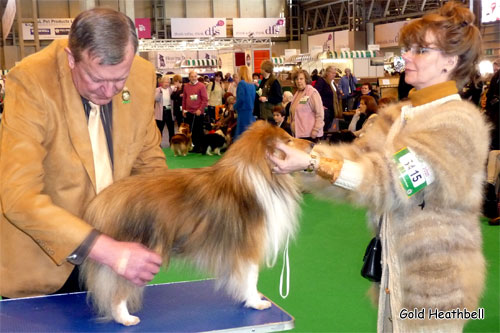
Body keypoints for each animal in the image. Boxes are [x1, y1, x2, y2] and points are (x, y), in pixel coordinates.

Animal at [80, 120, 314, 326]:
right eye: (288, 139)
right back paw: (126, 318)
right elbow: (251, 277)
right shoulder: (248, 248)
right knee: (117, 293)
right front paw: (255, 302)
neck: (260, 172)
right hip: (132, 260)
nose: (312, 144)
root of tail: (104, 200)